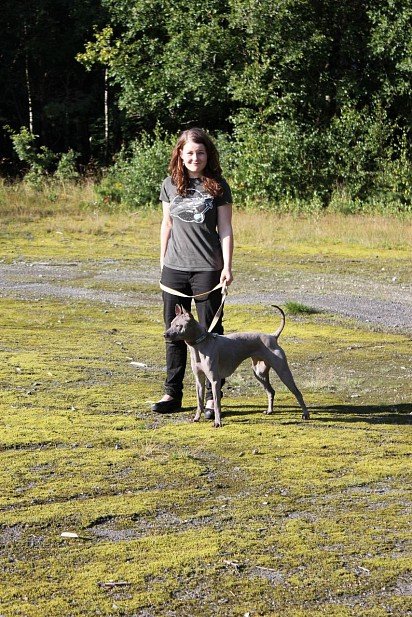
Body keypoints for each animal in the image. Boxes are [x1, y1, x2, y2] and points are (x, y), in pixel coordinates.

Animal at [164, 304, 308, 428]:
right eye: (171, 324)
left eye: (178, 326)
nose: (165, 334)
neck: (200, 345)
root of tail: (272, 336)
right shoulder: (199, 380)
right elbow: (199, 402)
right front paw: (196, 418)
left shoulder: (215, 381)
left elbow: (217, 404)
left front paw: (217, 422)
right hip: (259, 373)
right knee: (271, 391)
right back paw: (270, 411)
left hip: (283, 371)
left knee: (297, 393)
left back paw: (306, 414)